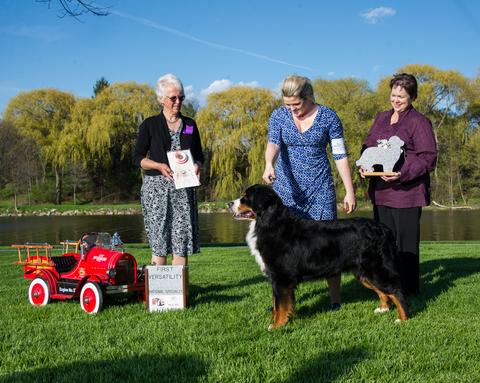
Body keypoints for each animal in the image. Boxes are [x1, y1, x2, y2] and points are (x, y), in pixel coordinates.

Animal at [229, 185, 408, 330]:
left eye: (246, 197)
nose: (229, 204)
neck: (270, 222)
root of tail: (384, 229)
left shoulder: (281, 277)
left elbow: (280, 305)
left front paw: (277, 325)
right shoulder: (277, 279)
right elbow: (277, 304)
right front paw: (281, 320)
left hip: (375, 269)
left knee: (396, 290)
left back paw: (403, 319)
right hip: (363, 273)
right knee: (383, 292)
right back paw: (383, 309)